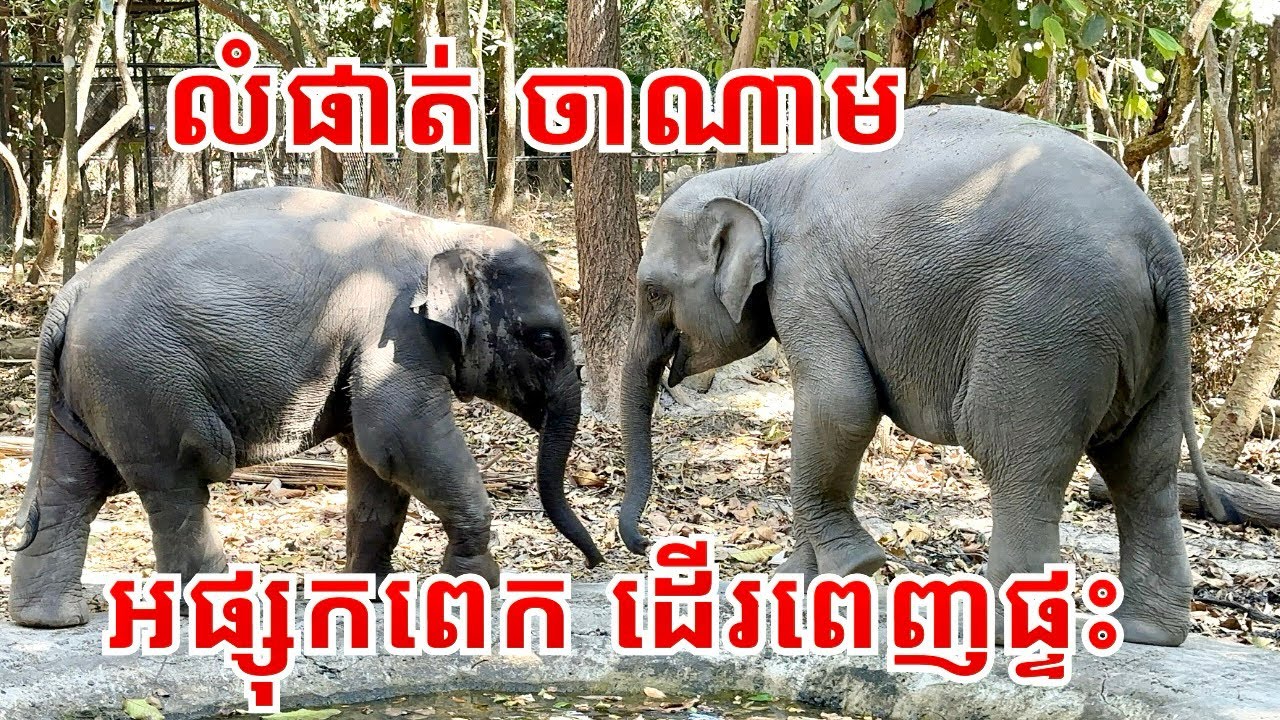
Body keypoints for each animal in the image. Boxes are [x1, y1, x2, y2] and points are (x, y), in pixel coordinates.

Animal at [5, 186, 603, 629]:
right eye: (545, 342)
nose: (597, 561)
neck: (443, 231)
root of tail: (67, 296)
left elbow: (375, 462)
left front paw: (367, 596)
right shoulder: (394, 334)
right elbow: (401, 438)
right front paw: (474, 587)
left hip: (90, 388)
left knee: (70, 485)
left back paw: (50, 621)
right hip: (143, 380)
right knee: (179, 481)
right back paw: (216, 612)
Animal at [616, 104, 1232, 647]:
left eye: (653, 290)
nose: (646, 544)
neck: (758, 177)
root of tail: (1159, 245)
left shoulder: (807, 280)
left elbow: (839, 404)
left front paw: (853, 568)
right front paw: (795, 583)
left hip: (1045, 331)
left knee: (1019, 460)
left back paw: (997, 634)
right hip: (1151, 351)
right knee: (1143, 469)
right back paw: (1147, 633)